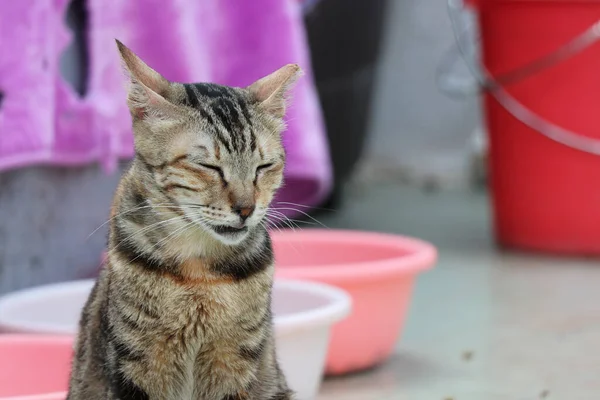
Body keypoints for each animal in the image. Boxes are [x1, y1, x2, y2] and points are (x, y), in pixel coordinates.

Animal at [67, 40, 300, 400]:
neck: (199, 272)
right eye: (208, 167)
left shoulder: (234, 360)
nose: (246, 208)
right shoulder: (137, 359)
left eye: (264, 167)